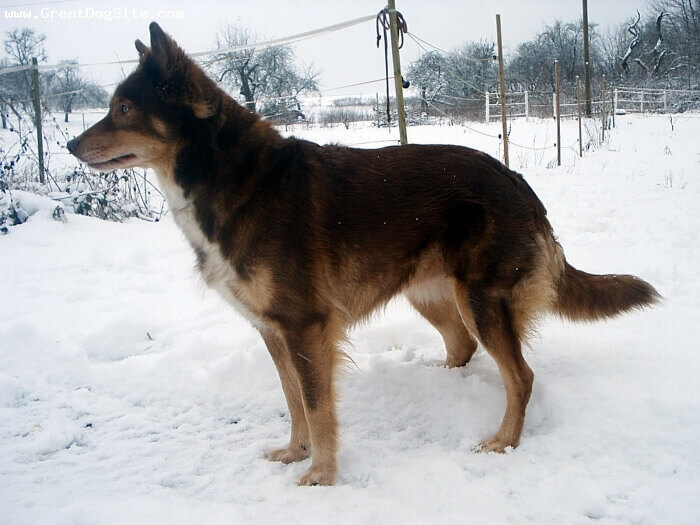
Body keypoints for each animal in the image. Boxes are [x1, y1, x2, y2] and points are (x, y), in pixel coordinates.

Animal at [67, 22, 660, 486]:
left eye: (124, 108)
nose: (70, 146)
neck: (230, 176)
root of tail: (519, 184)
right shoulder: (275, 332)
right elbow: (294, 404)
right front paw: (296, 453)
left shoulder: (306, 327)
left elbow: (317, 408)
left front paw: (322, 476)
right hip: (433, 295)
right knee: (464, 347)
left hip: (482, 300)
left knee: (520, 376)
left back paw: (503, 443)